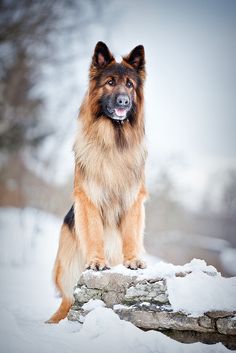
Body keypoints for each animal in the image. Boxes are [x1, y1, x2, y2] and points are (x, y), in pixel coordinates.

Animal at [46, 41, 148, 322]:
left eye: (130, 85)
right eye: (110, 82)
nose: (124, 100)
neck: (113, 141)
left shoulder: (133, 199)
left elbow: (130, 234)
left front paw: (132, 260)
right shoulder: (89, 198)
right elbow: (94, 233)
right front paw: (96, 261)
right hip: (67, 267)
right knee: (69, 299)